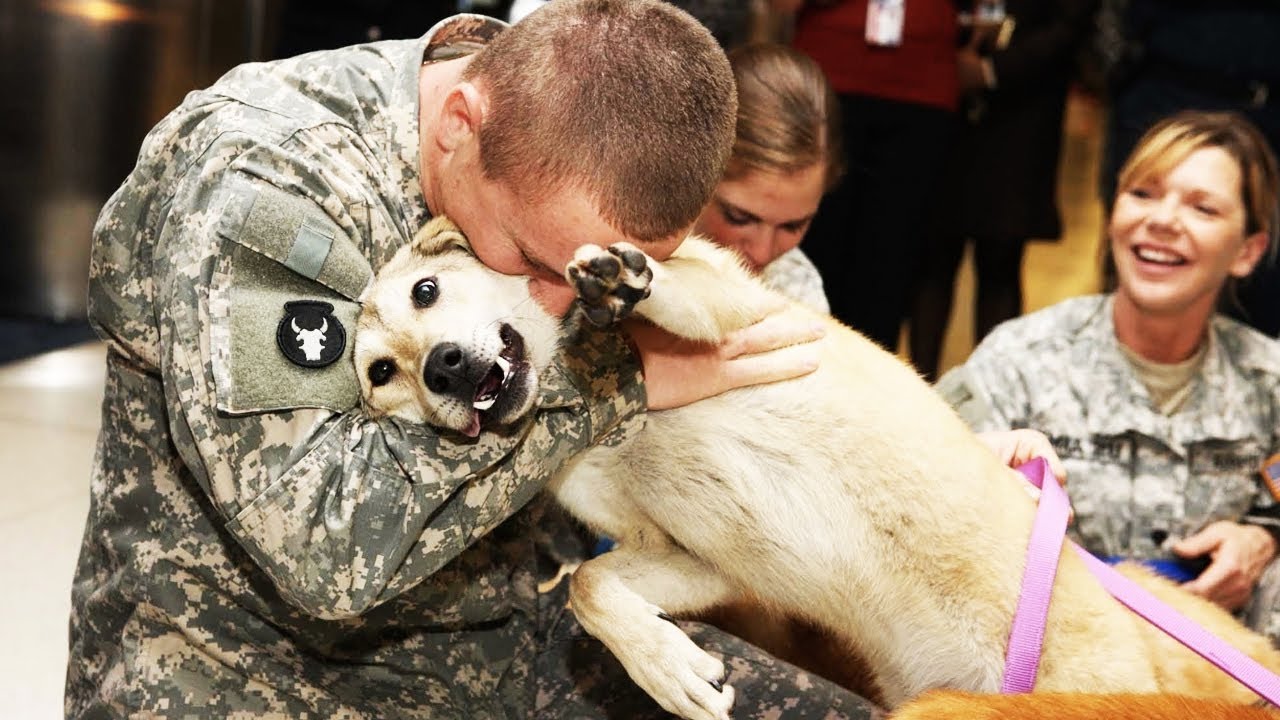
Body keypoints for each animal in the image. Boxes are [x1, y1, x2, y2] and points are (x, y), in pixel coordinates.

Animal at [355, 217, 1280, 717]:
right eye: (380, 373)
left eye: (428, 292)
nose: (442, 369)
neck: (608, 422)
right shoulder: (704, 563)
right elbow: (591, 586)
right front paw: (669, 670)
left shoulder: (745, 312)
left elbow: (681, 289)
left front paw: (624, 284)